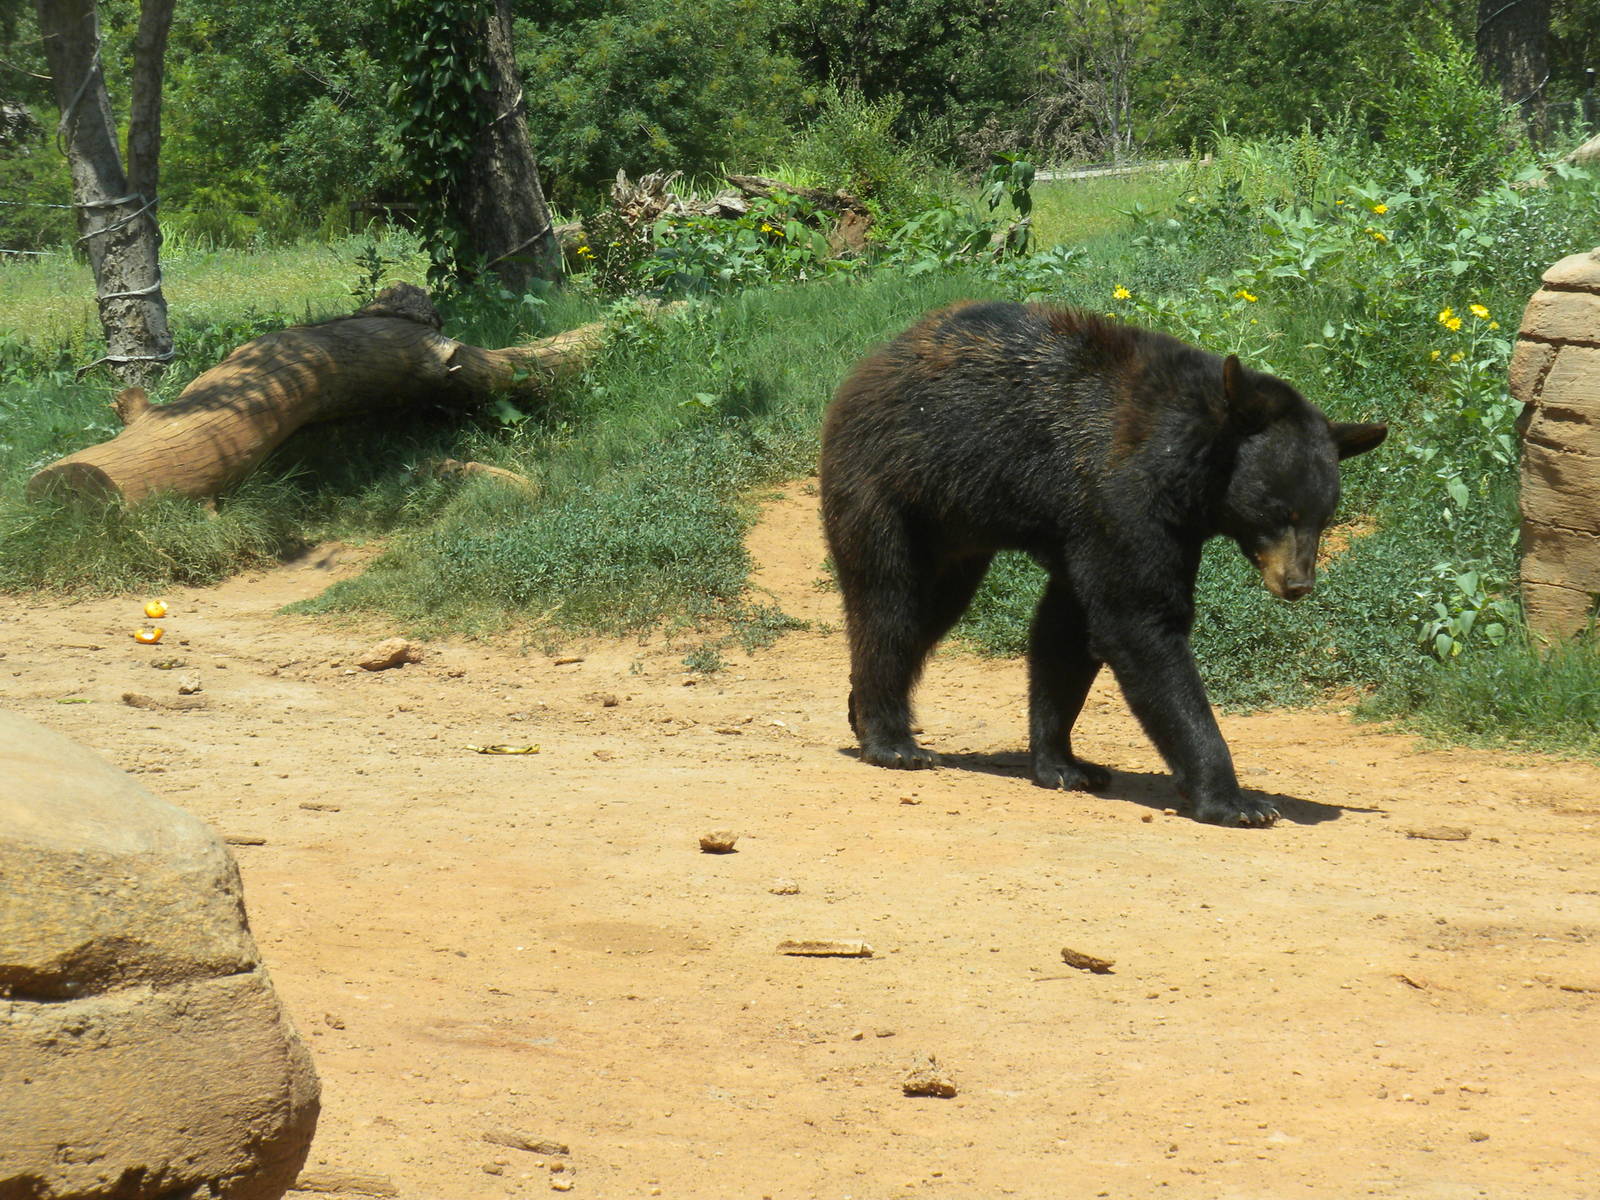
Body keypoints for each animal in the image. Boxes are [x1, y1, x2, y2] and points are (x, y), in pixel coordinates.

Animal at [818, 301, 1387, 826]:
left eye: (1324, 515)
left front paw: (1064, 764)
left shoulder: (1092, 524)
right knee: (890, 601)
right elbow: (1137, 621)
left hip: (954, 529)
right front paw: (1236, 800)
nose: (1297, 583)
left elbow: (1067, 633)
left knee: (932, 610)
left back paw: (860, 710)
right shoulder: (1120, 498)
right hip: (890, 483)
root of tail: (868, 364)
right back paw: (892, 741)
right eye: (1279, 510)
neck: (1188, 470)